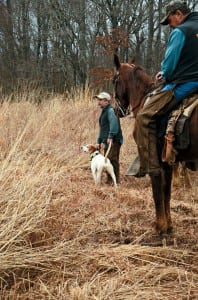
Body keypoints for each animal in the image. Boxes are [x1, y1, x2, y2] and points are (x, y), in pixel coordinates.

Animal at [113, 54, 198, 234]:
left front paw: (160, 226)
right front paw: (169, 224)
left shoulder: (155, 160)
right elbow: (167, 193)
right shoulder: (167, 162)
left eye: (114, 80)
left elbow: (157, 192)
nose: (117, 110)